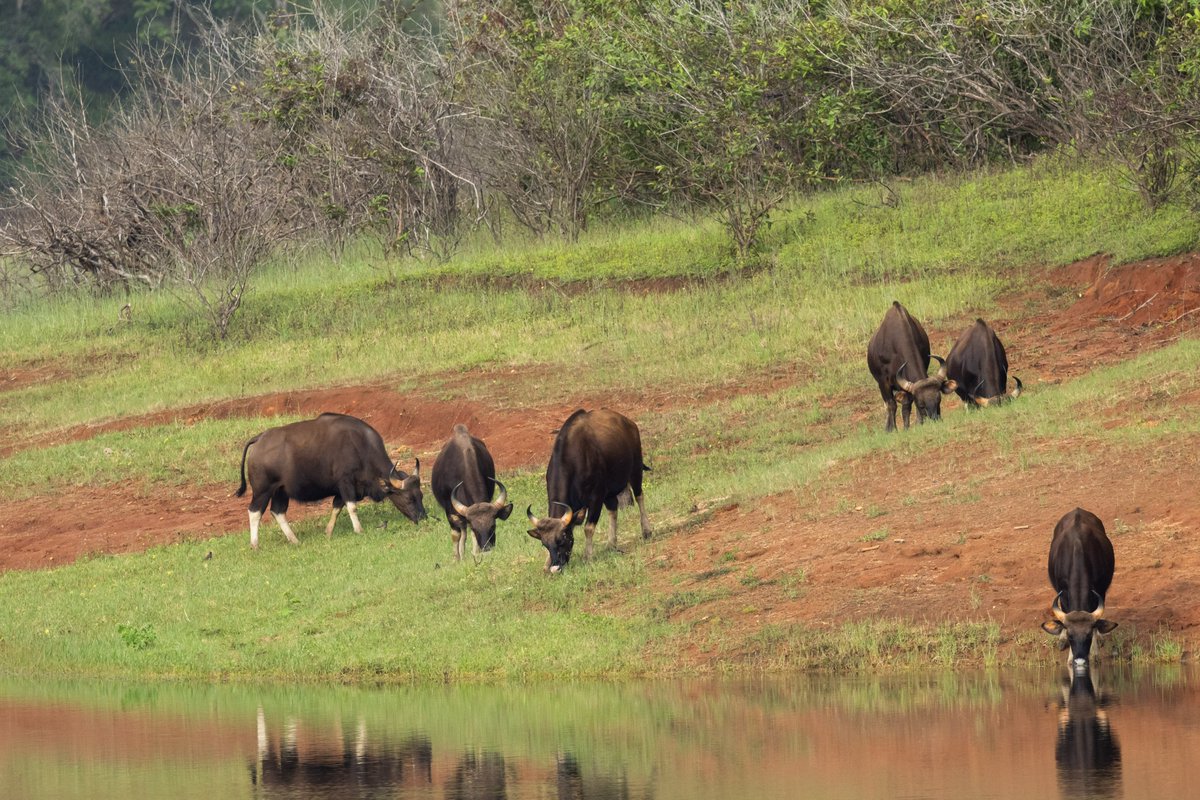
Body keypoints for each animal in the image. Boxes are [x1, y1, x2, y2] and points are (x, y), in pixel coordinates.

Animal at [236, 412, 426, 548]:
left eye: (421, 495)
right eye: (409, 498)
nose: (423, 517)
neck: (360, 445)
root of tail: (259, 439)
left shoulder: (343, 489)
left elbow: (337, 507)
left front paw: (328, 532)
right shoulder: (346, 483)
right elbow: (351, 507)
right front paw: (359, 529)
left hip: (280, 491)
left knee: (278, 511)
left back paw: (295, 540)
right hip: (263, 490)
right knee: (254, 512)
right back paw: (255, 545)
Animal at [430, 424, 513, 562]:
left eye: (493, 526)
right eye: (475, 528)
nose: (487, 548)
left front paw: (475, 554)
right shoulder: (449, 509)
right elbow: (456, 535)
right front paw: (456, 559)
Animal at [527, 409, 651, 573]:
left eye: (563, 539)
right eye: (544, 544)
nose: (556, 568)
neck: (573, 460)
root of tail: (629, 423)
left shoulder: (596, 497)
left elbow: (588, 528)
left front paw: (588, 556)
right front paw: (547, 564)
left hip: (636, 469)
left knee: (639, 496)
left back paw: (647, 530)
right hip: (609, 492)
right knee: (613, 509)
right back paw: (611, 544)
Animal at [866, 301, 957, 432]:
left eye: (939, 400)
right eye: (921, 405)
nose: (936, 419)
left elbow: (907, 406)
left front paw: (913, 425)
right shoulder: (883, 382)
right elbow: (891, 405)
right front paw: (891, 429)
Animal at [1041, 507, 1118, 671]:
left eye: (1088, 635)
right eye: (1071, 635)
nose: (1080, 661)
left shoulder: (1100, 590)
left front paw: (1094, 653)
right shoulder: (1063, 594)